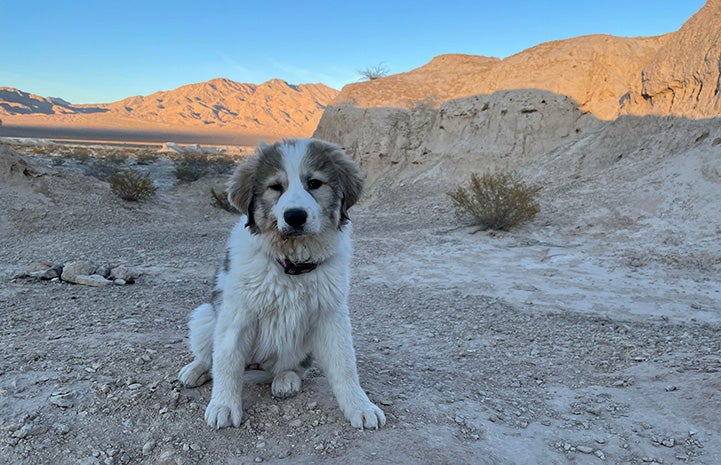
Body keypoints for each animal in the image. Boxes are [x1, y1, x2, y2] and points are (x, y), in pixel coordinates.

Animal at [178, 137, 386, 428]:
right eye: (276, 187)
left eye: (314, 183)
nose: (295, 216)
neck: (292, 263)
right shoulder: (237, 313)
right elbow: (226, 360)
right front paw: (223, 405)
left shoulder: (331, 313)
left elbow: (345, 364)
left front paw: (361, 406)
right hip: (205, 315)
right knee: (210, 355)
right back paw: (195, 370)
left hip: (299, 344)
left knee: (289, 367)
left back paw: (286, 380)